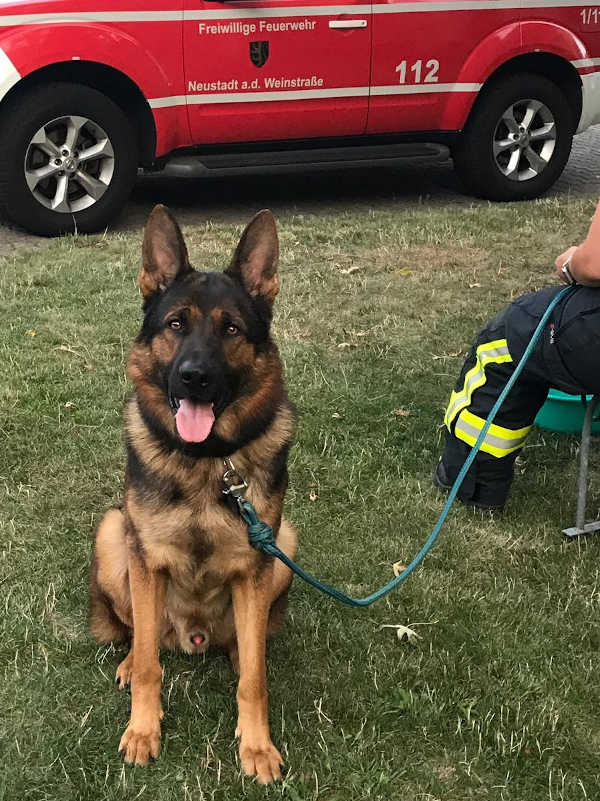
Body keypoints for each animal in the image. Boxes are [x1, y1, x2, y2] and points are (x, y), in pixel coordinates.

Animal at [88, 205, 298, 780]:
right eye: (176, 324)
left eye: (231, 329)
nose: (194, 377)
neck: (208, 464)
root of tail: (195, 635)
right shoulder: (145, 560)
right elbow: (149, 667)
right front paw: (143, 730)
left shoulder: (256, 563)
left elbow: (254, 681)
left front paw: (256, 745)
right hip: (113, 535)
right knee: (143, 639)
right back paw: (129, 661)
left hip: (285, 544)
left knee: (244, 647)